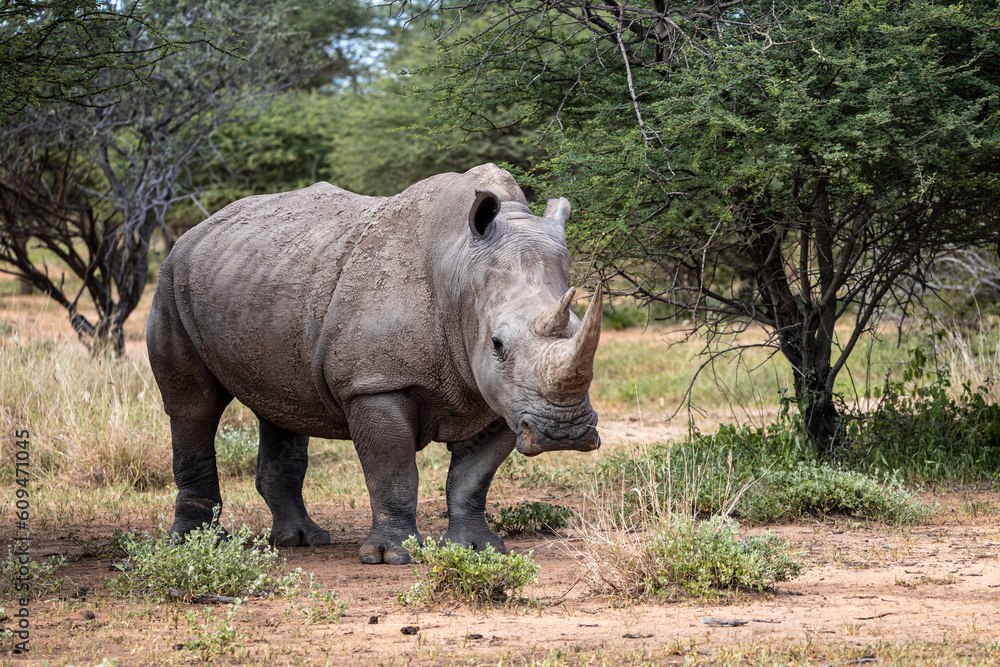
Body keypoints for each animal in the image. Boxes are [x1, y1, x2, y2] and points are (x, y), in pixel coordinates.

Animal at [146, 163, 602, 564]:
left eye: (581, 329)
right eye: (498, 343)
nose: (564, 432)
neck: (459, 270)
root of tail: (199, 229)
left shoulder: (503, 397)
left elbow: (472, 478)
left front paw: (477, 548)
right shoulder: (375, 383)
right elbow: (394, 470)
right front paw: (392, 556)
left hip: (263, 278)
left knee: (280, 404)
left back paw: (301, 540)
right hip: (170, 280)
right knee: (194, 406)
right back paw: (196, 544)